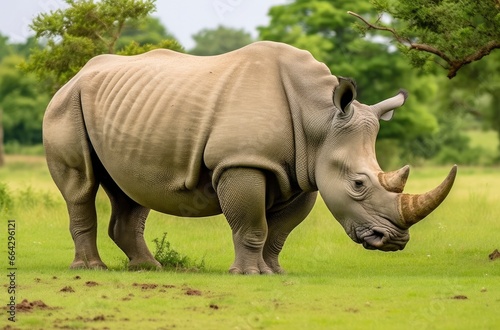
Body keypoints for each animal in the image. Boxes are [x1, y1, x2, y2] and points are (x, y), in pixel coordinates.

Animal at [44, 40, 458, 274]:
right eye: (358, 183)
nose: (394, 241)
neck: (320, 119)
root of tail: (75, 75)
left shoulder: (303, 173)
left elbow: (279, 232)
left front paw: (274, 272)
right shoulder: (242, 161)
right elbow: (252, 224)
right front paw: (248, 275)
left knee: (130, 190)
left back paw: (148, 268)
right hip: (66, 105)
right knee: (81, 186)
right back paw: (91, 269)